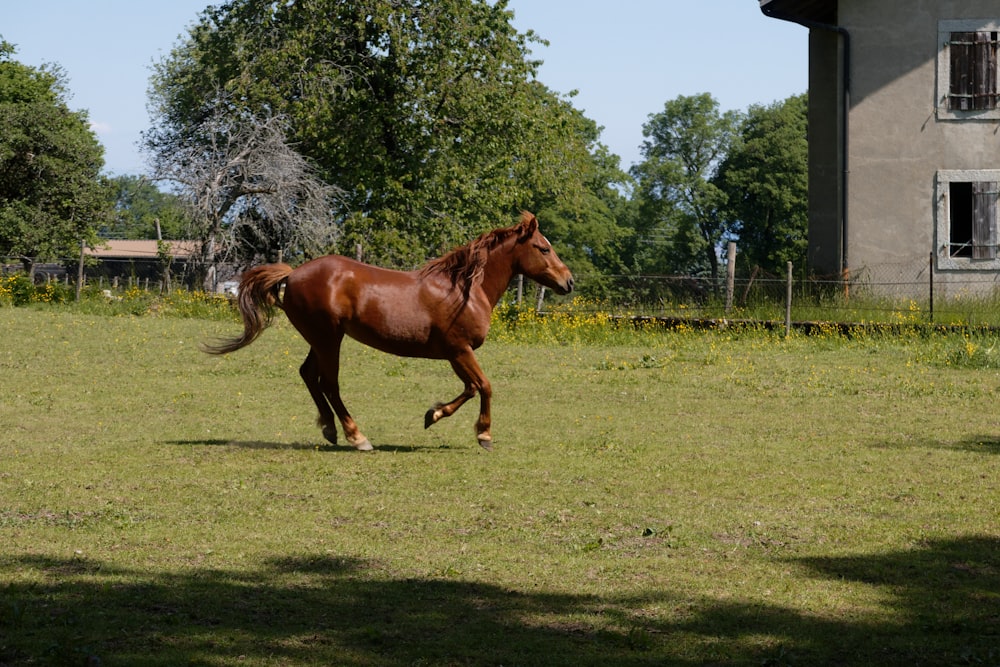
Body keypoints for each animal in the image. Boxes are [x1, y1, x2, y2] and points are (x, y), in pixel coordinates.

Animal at [205, 211, 572, 452]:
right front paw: (484, 435)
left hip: (320, 339)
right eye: (543, 248)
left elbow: (469, 388)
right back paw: (357, 437)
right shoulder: (459, 350)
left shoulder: (454, 354)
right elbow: (484, 386)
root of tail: (292, 274)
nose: (568, 282)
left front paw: (433, 414)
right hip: (329, 338)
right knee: (329, 383)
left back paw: (329, 429)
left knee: (309, 375)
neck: (466, 290)